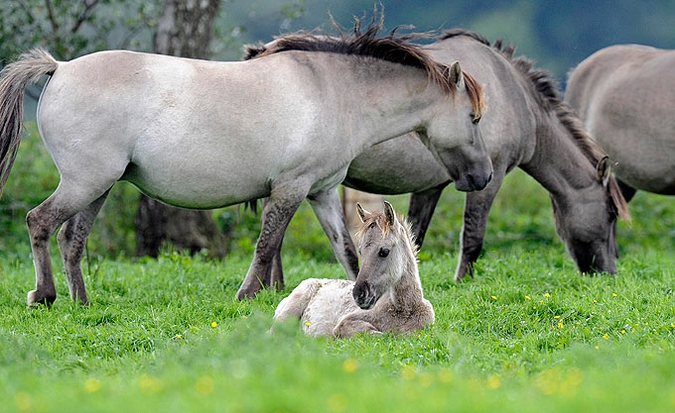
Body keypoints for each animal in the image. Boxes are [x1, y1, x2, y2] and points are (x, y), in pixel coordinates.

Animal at [274, 200, 436, 338]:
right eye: (360, 251)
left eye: (384, 251)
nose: (359, 295)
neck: (406, 310)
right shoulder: (344, 324)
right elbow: (379, 334)